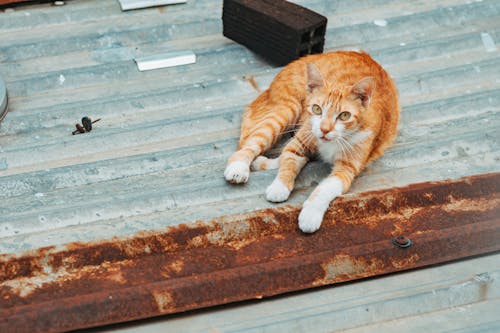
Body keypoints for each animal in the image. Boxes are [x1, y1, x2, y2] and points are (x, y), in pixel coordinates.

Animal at [225, 50, 400, 232]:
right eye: (317, 109)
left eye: (344, 115)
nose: (324, 129)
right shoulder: (298, 144)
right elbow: (288, 162)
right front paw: (279, 187)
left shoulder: (347, 169)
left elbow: (324, 188)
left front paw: (310, 215)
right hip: (285, 111)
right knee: (247, 146)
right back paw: (239, 167)